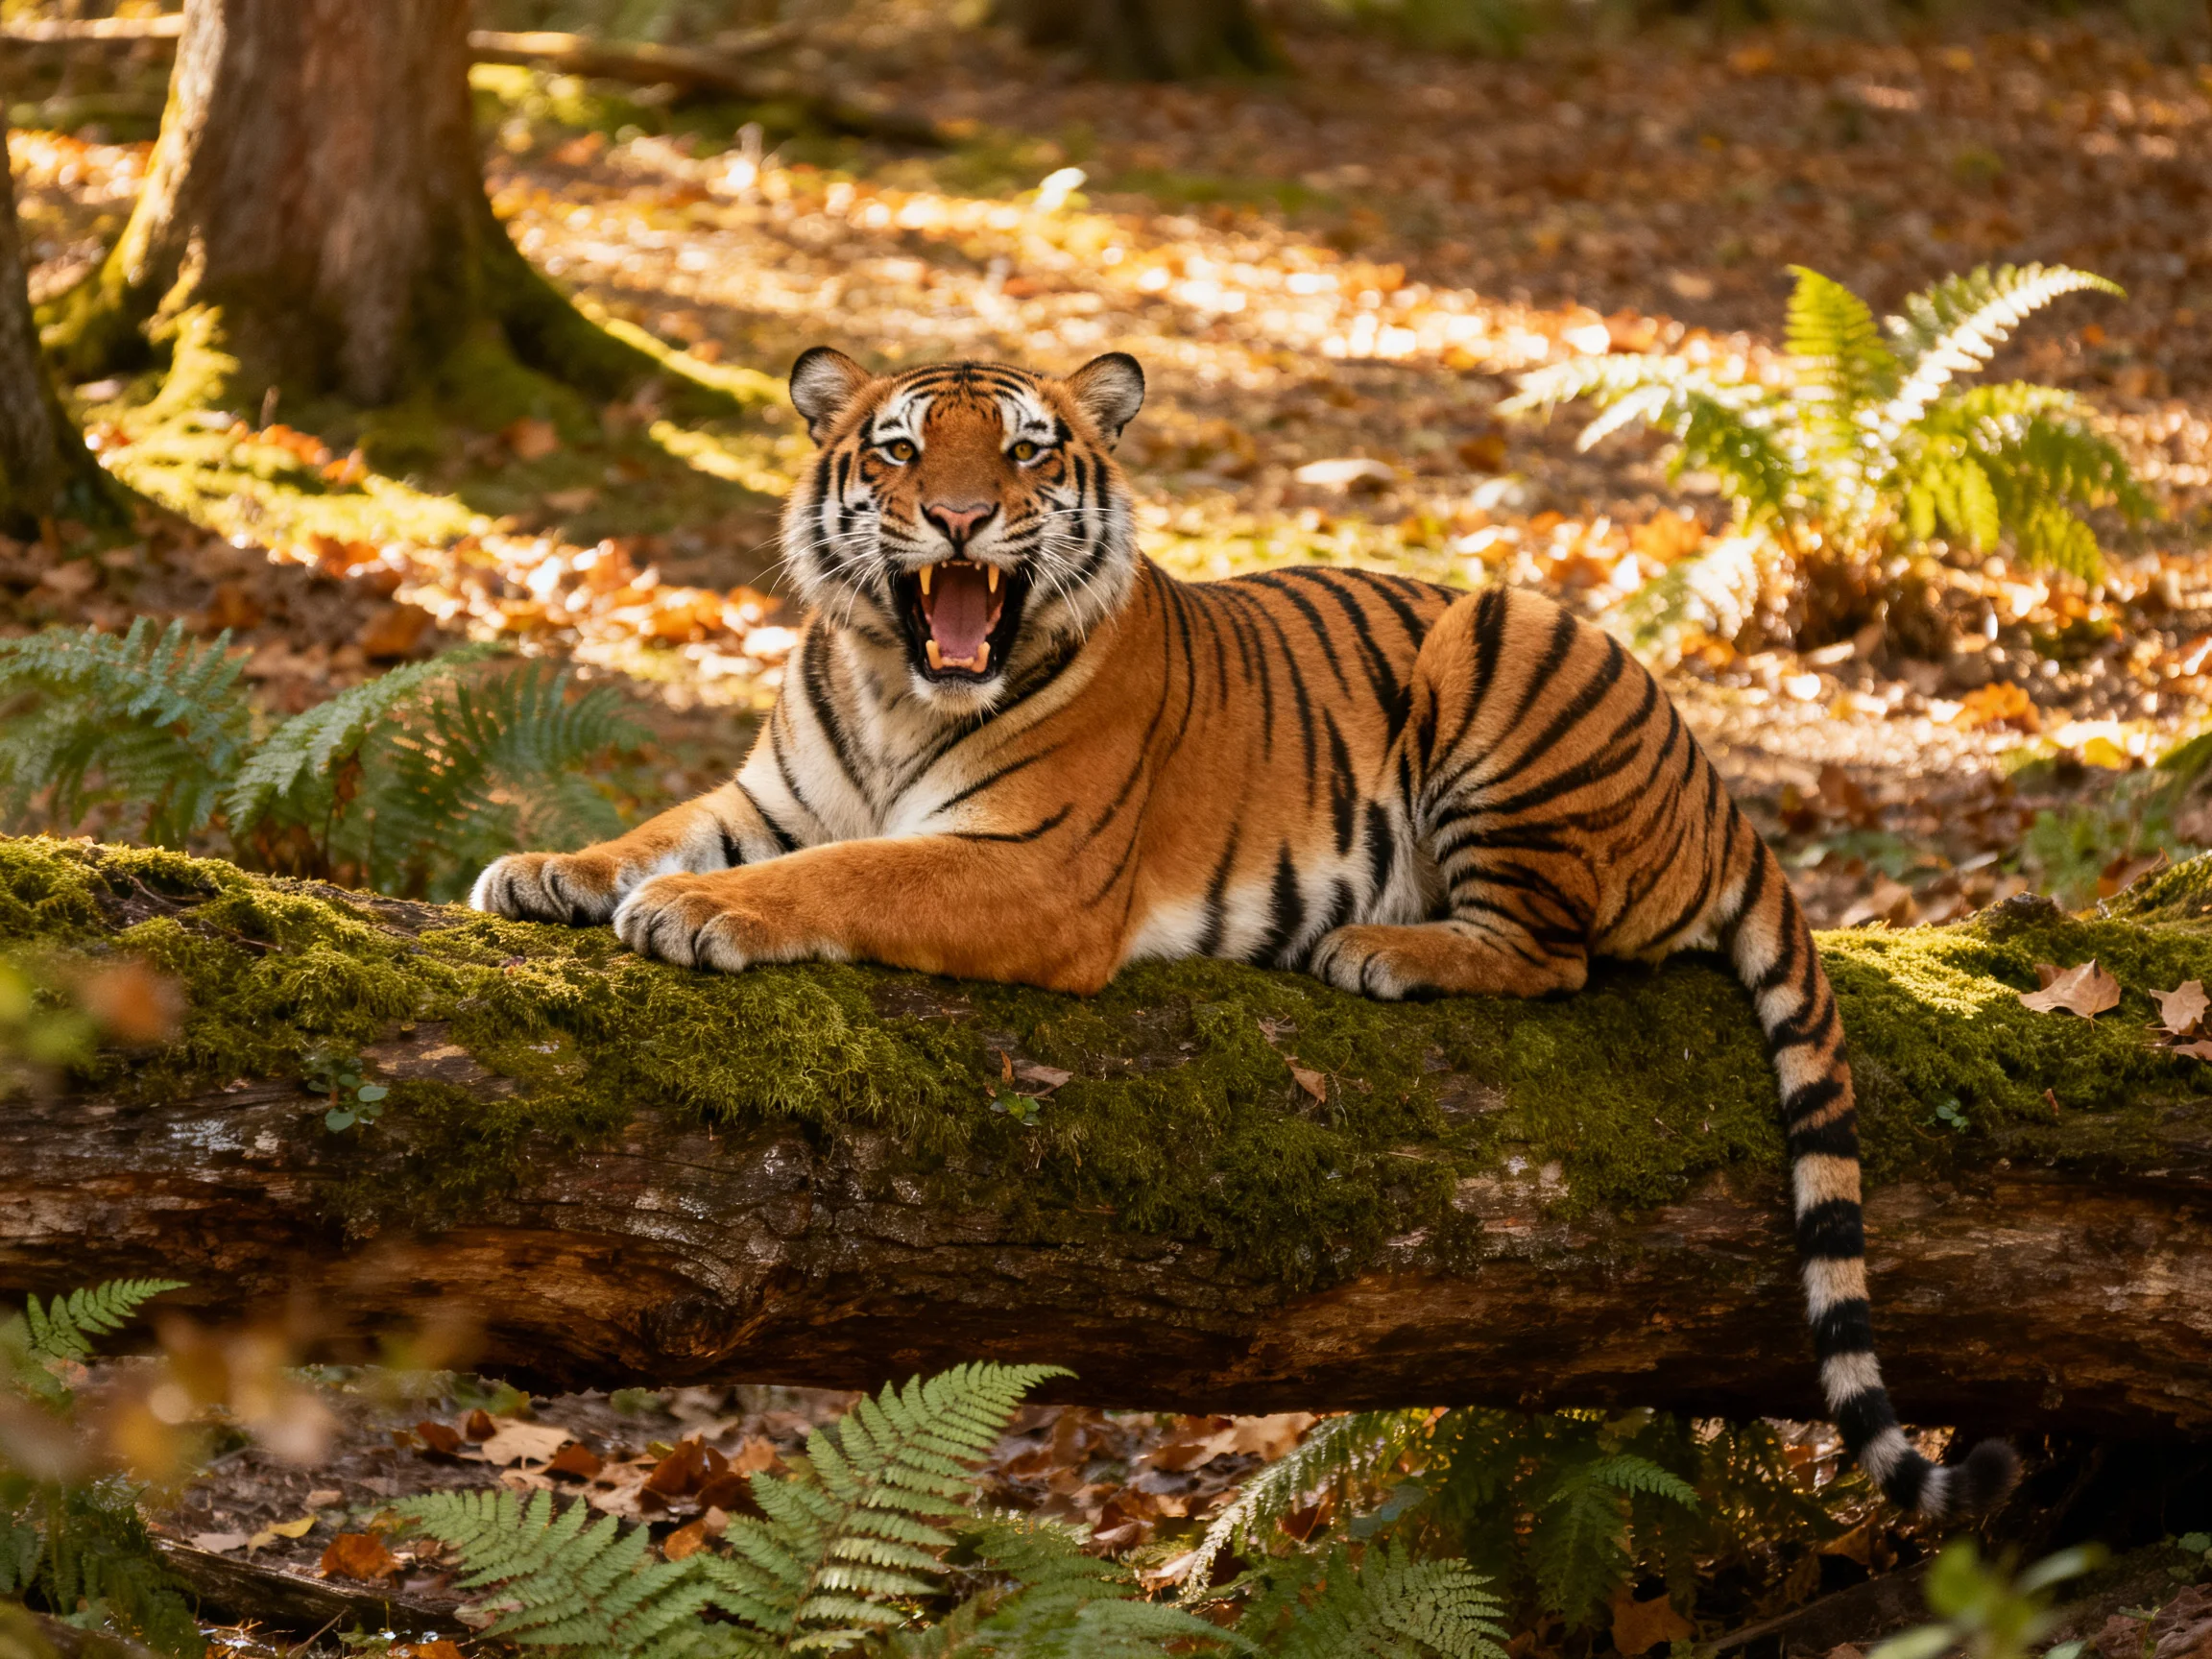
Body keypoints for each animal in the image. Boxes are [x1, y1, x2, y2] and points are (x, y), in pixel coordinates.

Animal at [473, 346, 2017, 1518]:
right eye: (902, 451)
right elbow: (659, 828)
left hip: (1500, 643)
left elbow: (847, 875)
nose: (962, 521)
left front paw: (698, 912)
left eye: (1027, 454)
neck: (895, 686)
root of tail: (1720, 789)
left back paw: (1382, 949)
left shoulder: (1033, 867)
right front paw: (545, 869)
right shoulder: (768, 797)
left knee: (1555, 952)